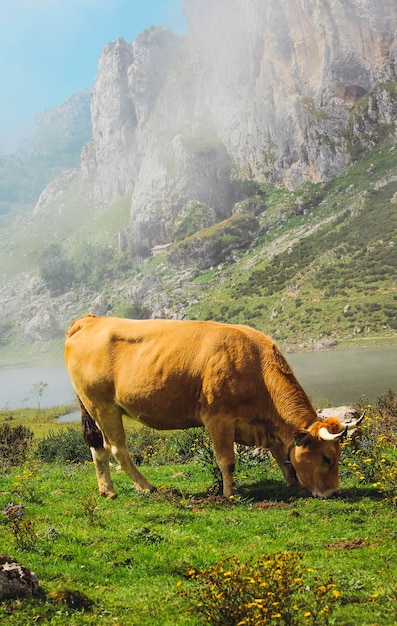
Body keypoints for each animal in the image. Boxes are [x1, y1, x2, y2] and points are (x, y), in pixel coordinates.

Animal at [63, 314, 360, 500]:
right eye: (326, 458)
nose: (334, 492)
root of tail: (89, 320)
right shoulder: (219, 417)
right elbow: (227, 461)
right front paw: (230, 494)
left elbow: (281, 455)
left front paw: (292, 483)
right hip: (103, 406)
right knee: (117, 449)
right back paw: (147, 487)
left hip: (91, 408)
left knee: (97, 447)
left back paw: (108, 491)